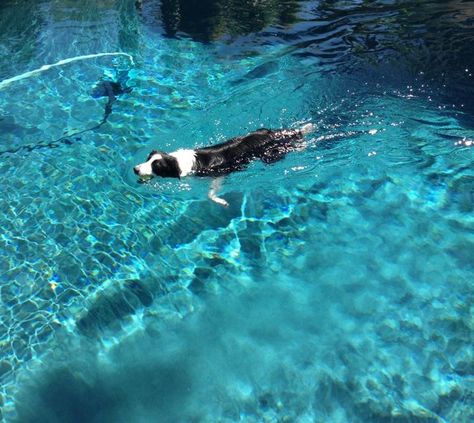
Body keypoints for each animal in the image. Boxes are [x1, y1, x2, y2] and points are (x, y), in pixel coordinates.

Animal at [134, 122, 314, 207]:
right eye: (147, 159)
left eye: (156, 166)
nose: (135, 169)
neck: (178, 162)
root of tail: (271, 133)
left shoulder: (218, 174)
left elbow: (210, 194)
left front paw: (221, 202)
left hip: (270, 157)